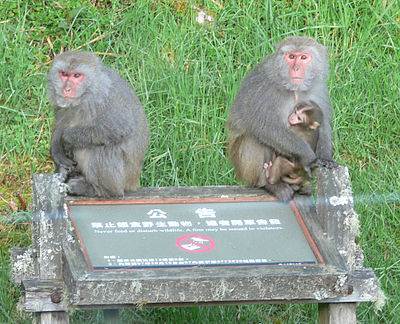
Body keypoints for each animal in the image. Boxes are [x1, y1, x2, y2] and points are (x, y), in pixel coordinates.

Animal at [47, 51, 150, 197]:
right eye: (64, 74)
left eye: (77, 75)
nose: (66, 89)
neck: (87, 93)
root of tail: (134, 182)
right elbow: (60, 123)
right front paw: (57, 151)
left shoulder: (108, 97)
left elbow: (120, 128)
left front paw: (67, 138)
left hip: (125, 177)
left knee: (103, 148)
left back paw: (99, 190)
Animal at [227, 36, 336, 201]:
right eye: (291, 56)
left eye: (303, 57)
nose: (295, 68)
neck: (294, 89)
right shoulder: (264, 88)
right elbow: (265, 127)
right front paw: (309, 157)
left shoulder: (319, 89)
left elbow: (322, 126)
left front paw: (325, 158)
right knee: (252, 140)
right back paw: (269, 184)